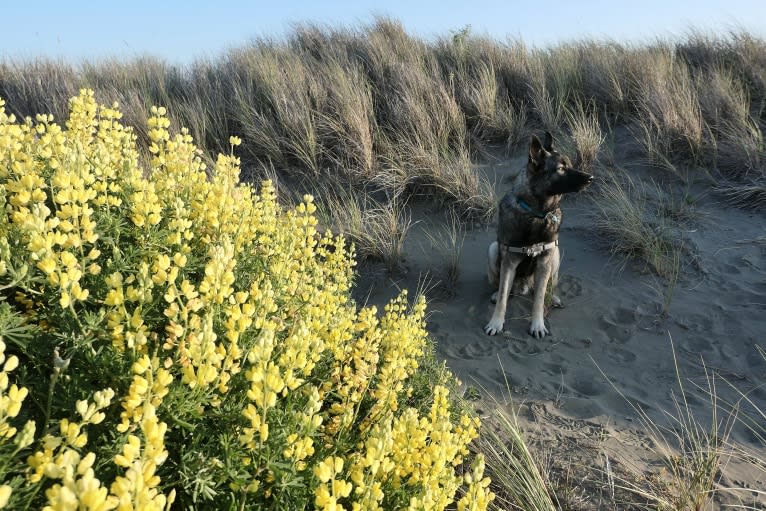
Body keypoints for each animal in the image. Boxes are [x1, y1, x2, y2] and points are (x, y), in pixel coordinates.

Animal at [486, 133, 592, 340]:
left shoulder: (545, 260)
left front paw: (537, 325)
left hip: (555, 254)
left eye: (569, 164)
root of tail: (524, 286)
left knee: (547, 286)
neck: (536, 214)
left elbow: (539, 299)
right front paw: (496, 323)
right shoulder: (509, 261)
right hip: (493, 249)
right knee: (501, 286)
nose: (590, 178)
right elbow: (503, 298)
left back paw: (554, 296)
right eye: (560, 169)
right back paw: (495, 294)